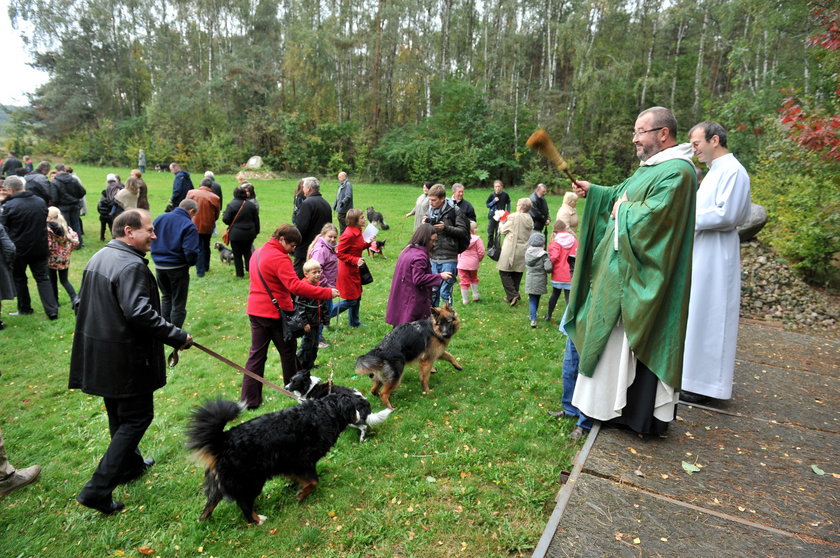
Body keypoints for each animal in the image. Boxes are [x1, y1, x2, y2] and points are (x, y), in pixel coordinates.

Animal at [187, 394, 370, 524]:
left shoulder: (288, 463)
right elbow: (313, 481)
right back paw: (257, 520)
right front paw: (301, 494)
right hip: (251, 480)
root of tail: (223, 440)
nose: (363, 415)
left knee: (210, 504)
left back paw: (204, 522)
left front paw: (295, 485)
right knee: (244, 503)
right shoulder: (302, 460)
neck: (326, 411)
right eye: (356, 406)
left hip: (219, 483)